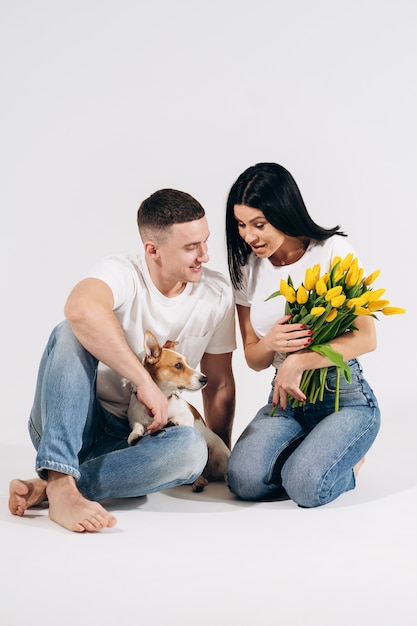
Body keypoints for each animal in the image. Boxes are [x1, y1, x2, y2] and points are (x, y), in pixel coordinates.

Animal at [126, 330, 231, 490]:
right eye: (178, 365)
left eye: (187, 362)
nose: (205, 379)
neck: (162, 397)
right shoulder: (134, 417)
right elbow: (137, 424)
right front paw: (135, 434)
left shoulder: (188, 415)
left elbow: (180, 417)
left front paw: (172, 421)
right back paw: (199, 481)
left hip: (218, 451)